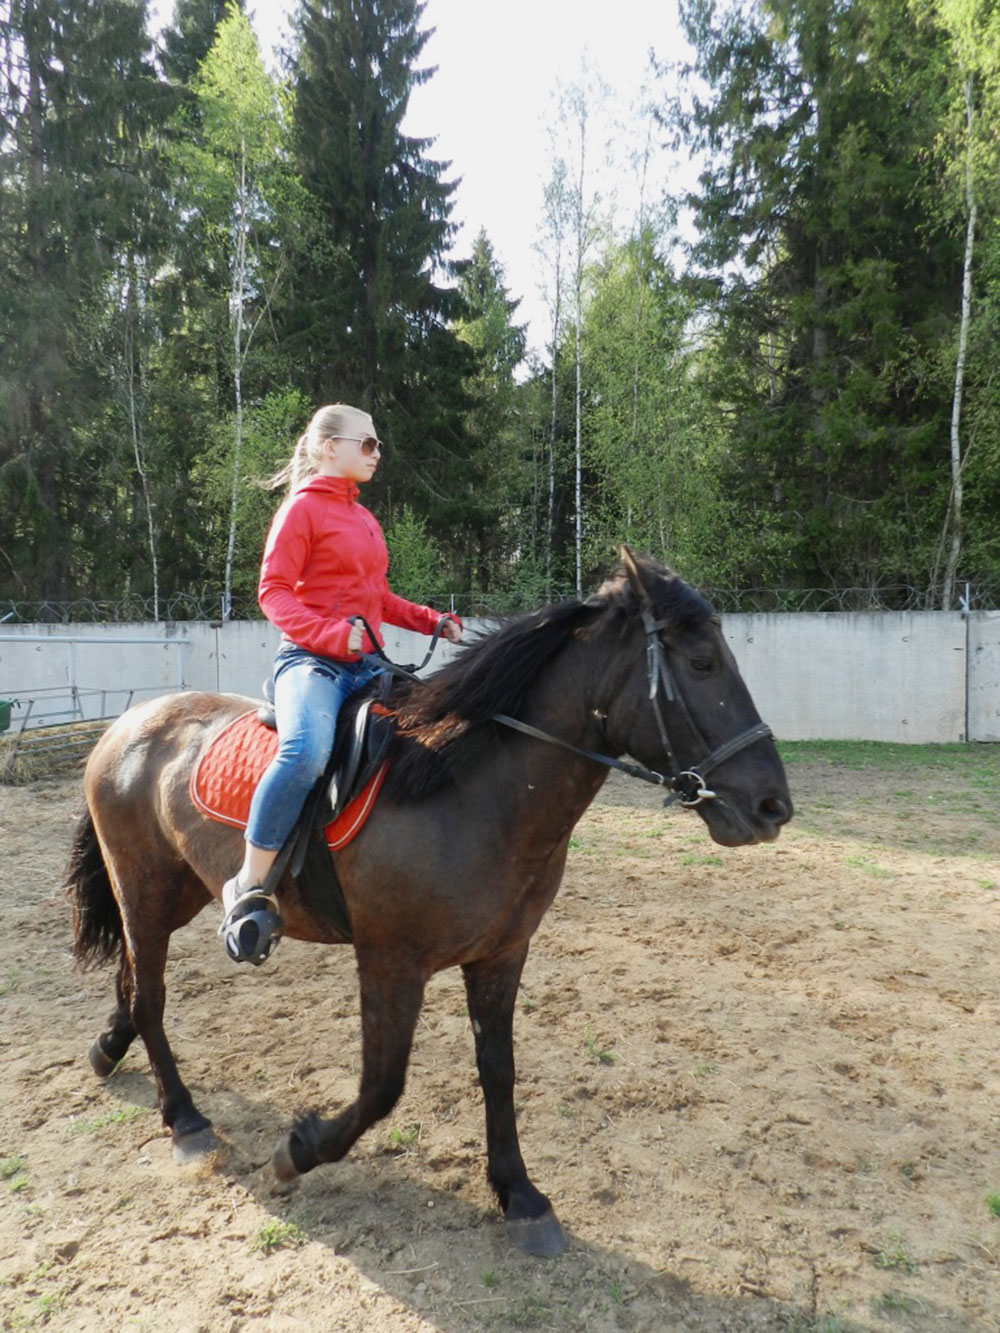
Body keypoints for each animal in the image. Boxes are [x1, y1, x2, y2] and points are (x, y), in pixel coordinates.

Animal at [66, 546, 794, 1253]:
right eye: (702, 662)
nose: (773, 807)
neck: (464, 789)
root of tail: (127, 723)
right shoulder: (390, 961)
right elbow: (381, 1085)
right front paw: (297, 1151)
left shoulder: (502, 953)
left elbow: (497, 1067)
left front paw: (520, 1195)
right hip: (144, 888)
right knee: (150, 995)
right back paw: (186, 1120)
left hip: (178, 889)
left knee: (132, 979)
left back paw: (108, 1048)